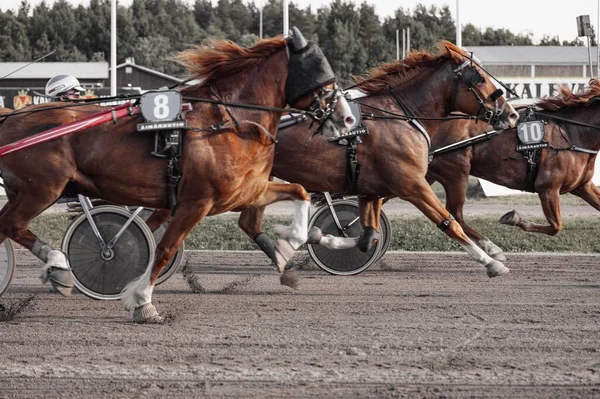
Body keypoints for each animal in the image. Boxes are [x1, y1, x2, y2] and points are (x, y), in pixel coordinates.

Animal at [0, 32, 356, 324]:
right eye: (323, 80)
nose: (347, 119)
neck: (229, 122)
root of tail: (11, 116)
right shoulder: (195, 201)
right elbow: (165, 249)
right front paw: (142, 302)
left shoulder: (245, 191)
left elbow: (299, 193)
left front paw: (299, 244)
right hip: (43, 188)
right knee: (12, 225)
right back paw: (57, 265)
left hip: (27, 191)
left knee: (6, 226)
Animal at [236, 40, 520, 278]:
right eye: (479, 78)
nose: (513, 114)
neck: (399, 115)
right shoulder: (412, 185)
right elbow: (450, 222)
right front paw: (491, 261)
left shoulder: (370, 189)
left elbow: (367, 237)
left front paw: (328, 238)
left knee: (249, 223)